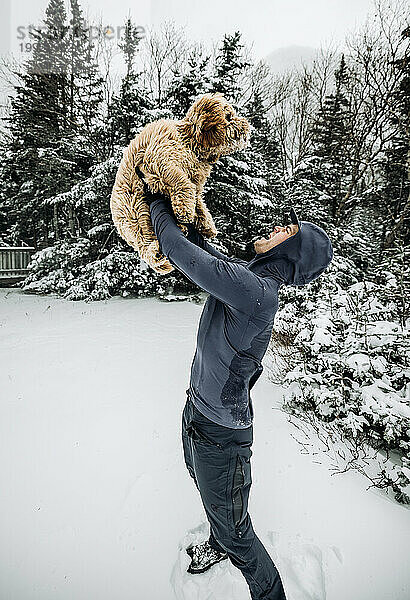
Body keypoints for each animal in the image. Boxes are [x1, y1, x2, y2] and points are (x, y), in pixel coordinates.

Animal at [109, 92, 250, 274]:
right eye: (228, 117)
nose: (247, 125)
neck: (189, 143)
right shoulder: (160, 160)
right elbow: (182, 183)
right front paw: (185, 212)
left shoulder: (196, 181)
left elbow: (198, 201)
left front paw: (206, 225)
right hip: (136, 211)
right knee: (146, 242)